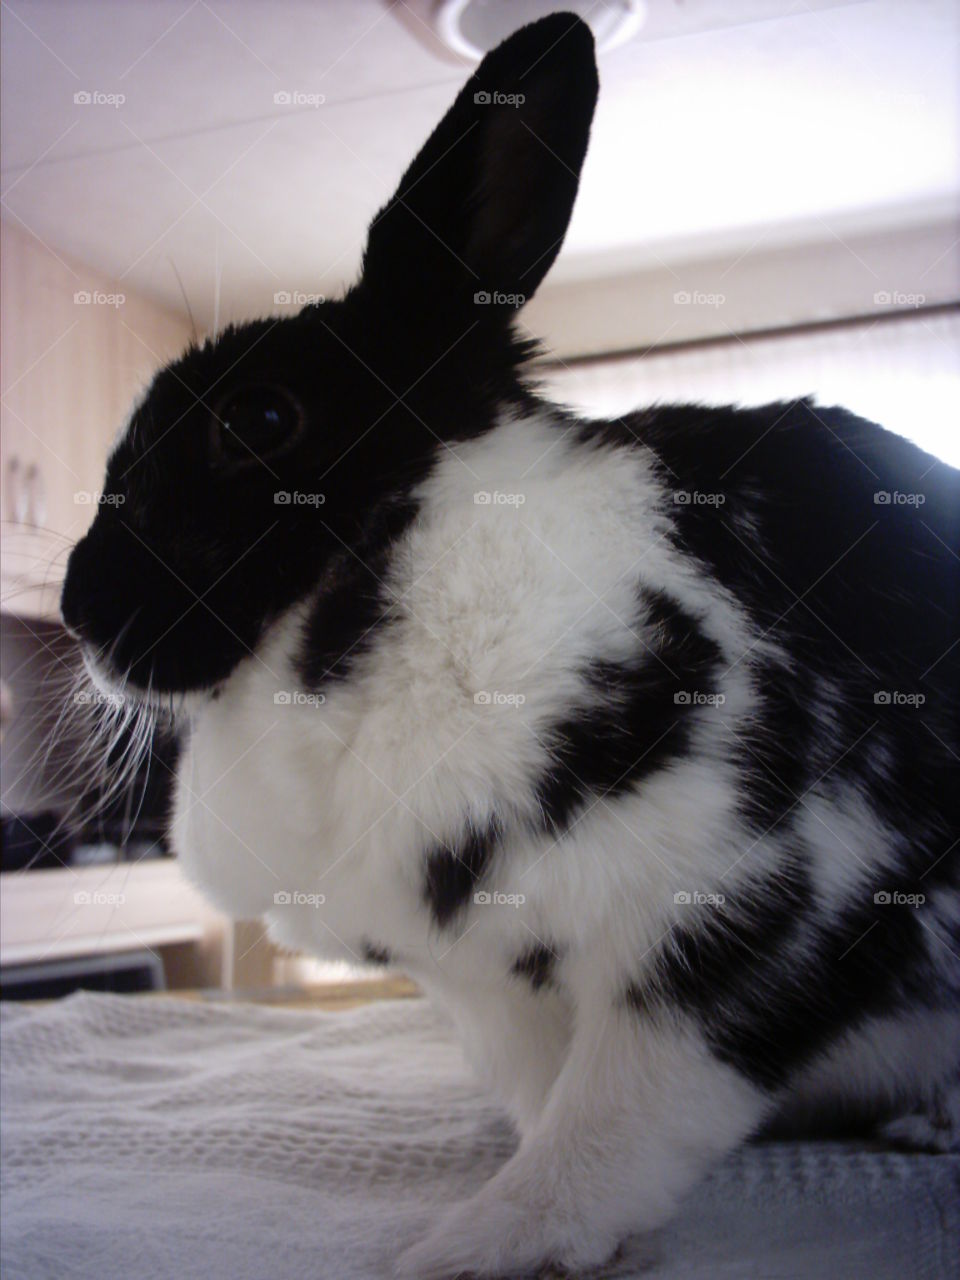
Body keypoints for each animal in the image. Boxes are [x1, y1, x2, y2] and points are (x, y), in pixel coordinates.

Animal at [59, 12, 960, 1279]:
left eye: (262, 418)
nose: (78, 605)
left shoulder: (769, 900)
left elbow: (626, 1107)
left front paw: (490, 1239)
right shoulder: (490, 985)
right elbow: (550, 1095)